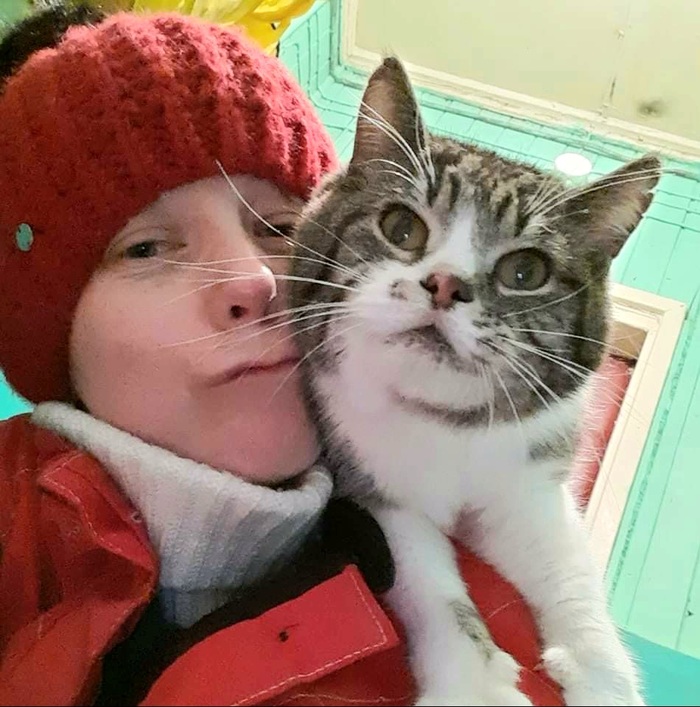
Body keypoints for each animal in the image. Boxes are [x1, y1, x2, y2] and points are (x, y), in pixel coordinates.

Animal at [288, 56, 660, 706]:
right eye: (400, 228)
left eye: (525, 271)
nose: (445, 284)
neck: (445, 420)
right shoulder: (370, 484)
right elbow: (428, 583)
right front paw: (474, 682)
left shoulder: (529, 483)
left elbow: (571, 575)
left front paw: (602, 677)